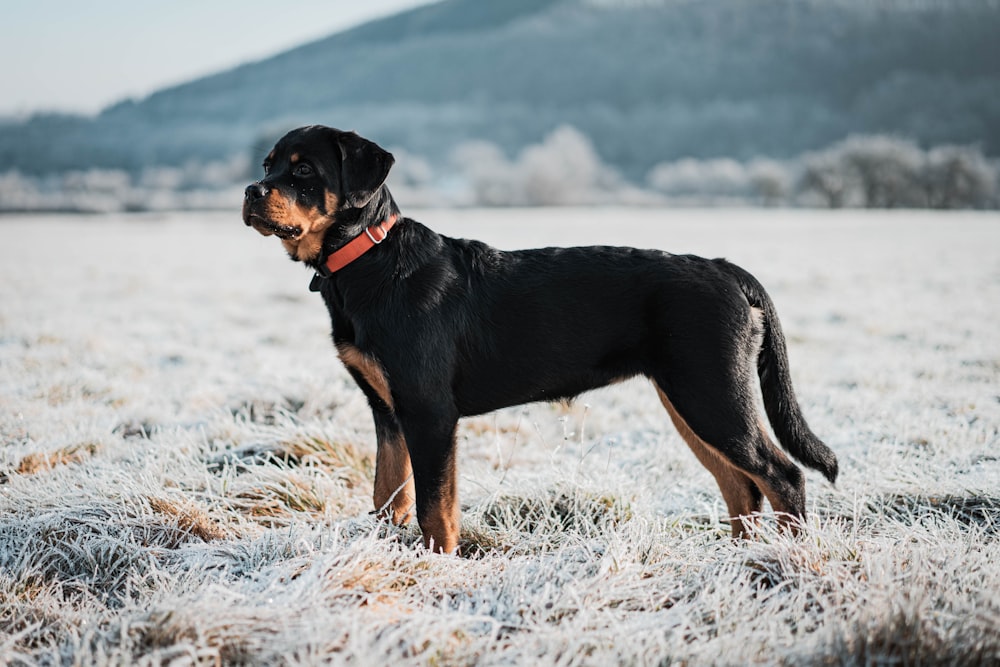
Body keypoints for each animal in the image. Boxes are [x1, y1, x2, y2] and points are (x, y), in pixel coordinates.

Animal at [242, 125, 836, 552]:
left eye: (303, 170)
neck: (368, 260)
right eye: (268, 164)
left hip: (712, 394)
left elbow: (436, 508)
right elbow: (389, 495)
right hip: (692, 400)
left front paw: (439, 567)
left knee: (782, 475)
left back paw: (790, 559)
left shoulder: (429, 411)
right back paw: (741, 560)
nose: (250, 189)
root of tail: (726, 269)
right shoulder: (387, 411)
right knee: (741, 485)